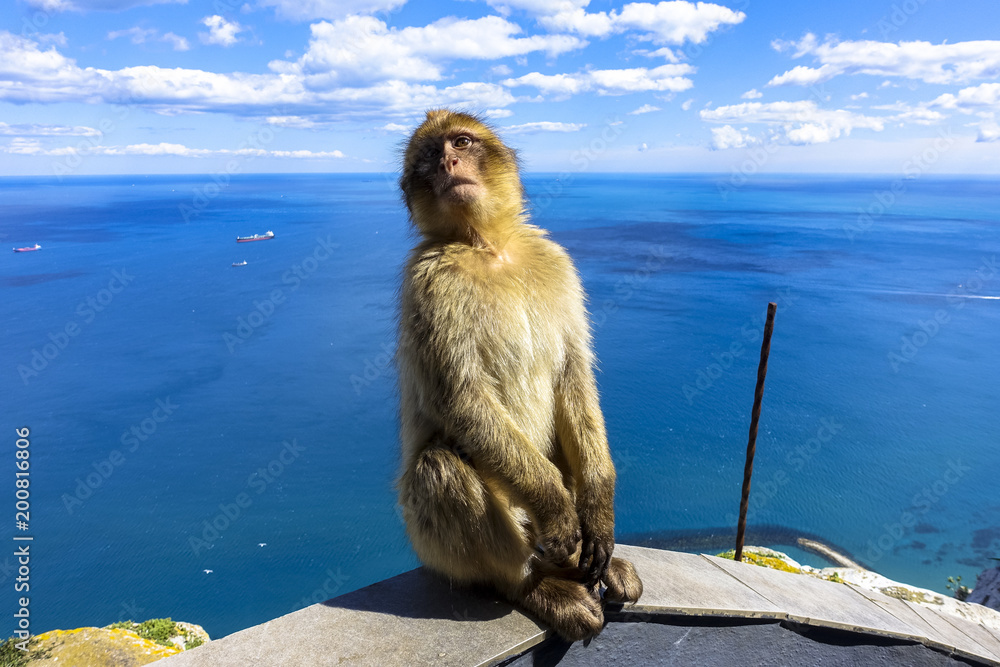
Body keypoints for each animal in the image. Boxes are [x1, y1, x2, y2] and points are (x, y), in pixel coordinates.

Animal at [396, 109, 642, 642]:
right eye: (429, 156)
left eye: (460, 143)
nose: (446, 163)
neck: (490, 248)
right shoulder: (429, 283)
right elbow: (463, 398)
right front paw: (557, 507)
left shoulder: (559, 265)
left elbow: (574, 375)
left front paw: (599, 509)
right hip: (438, 543)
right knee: (439, 466)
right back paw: (535, 585)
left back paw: (593, 560)